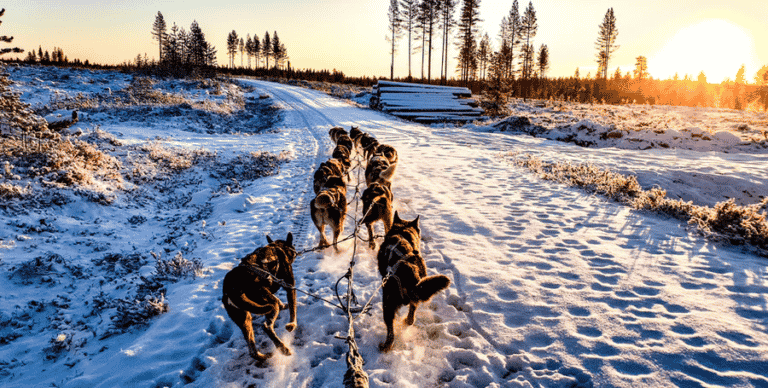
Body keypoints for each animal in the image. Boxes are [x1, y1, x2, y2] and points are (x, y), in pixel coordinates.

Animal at [222, 232, 296, 362]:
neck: (277, 247)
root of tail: (229, 287)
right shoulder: (290, 286)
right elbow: (293, 309)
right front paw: (292, 324)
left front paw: (283, 305)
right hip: (267, 305)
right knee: (266, 326)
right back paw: (283, 348)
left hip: (245, 318)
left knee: (251, 348)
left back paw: (263, 356)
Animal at [376, 212, 450, 352]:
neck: (402, 232)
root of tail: (407, 269)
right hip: (416, 292)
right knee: (411, 317)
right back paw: (406, 322)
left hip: (387, 303)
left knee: (390, 331)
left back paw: (385, 346)